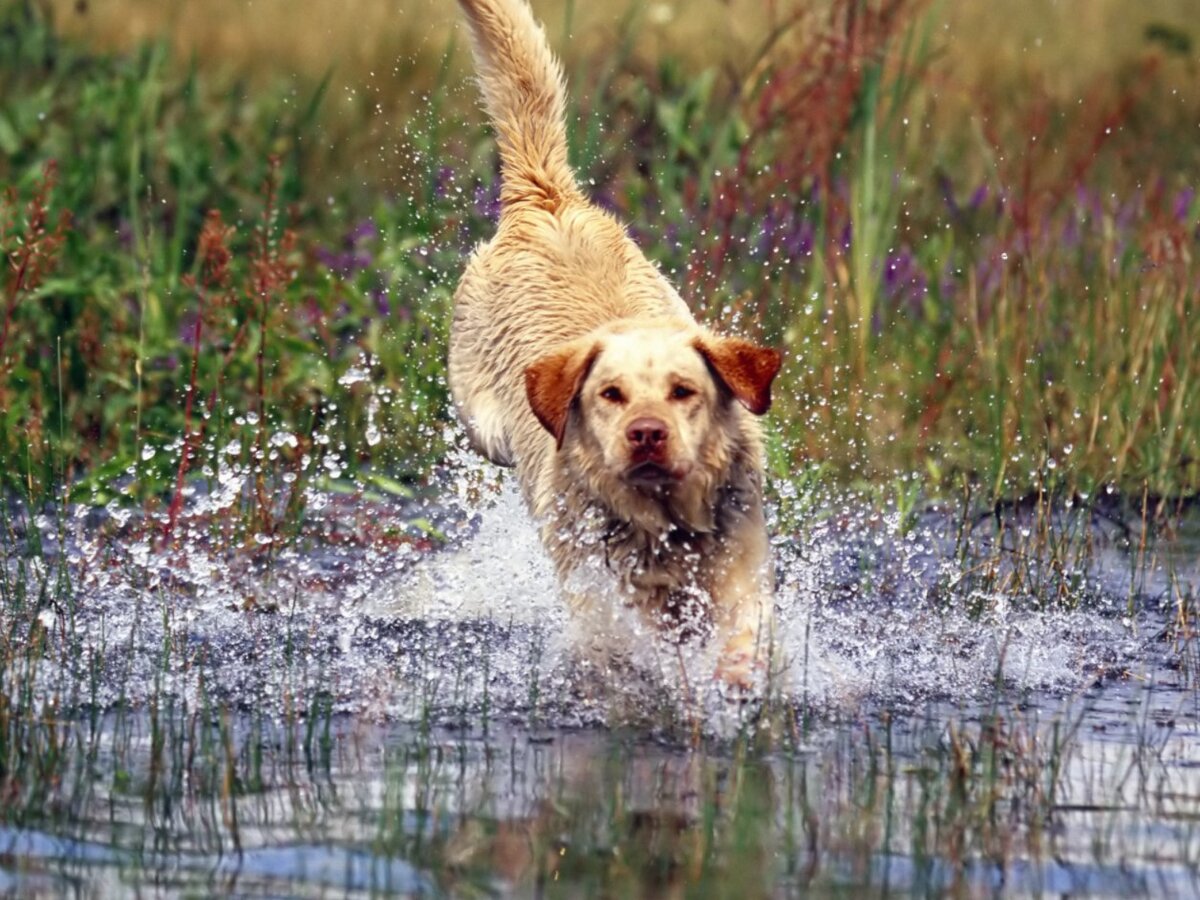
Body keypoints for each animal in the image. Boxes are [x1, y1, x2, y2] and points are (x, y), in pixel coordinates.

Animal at [448, 0, 777, 691]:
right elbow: (633, 640)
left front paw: (737, 675)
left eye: (684, 392)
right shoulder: (602, 591)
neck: (666, 522)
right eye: (610, 395)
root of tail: (546, 201)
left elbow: (746, 622)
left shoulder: (743, 554)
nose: (646, 434)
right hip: (480, 422)